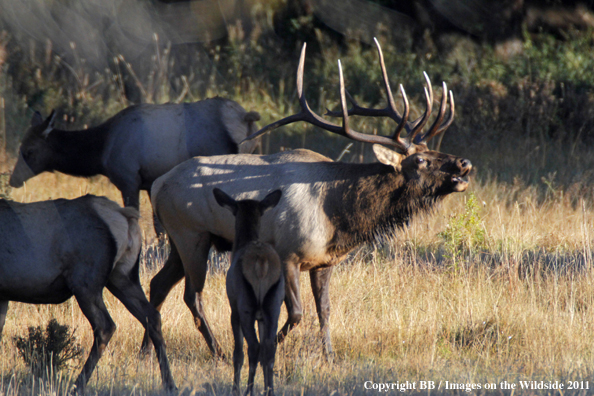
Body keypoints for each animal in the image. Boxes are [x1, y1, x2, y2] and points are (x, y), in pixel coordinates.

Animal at [0, 193, 176, 392]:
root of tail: (125, 216)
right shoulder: (3, 296)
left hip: (86, 283)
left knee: (105, 325)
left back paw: (77, 385)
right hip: (122, 277)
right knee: (152, 316)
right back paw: (170, 384)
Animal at [143, 38, 472, 358]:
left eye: (432, 151)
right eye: (421, 161)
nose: (464, 163)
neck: (339, 216)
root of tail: (158, 185)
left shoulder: (325, 262)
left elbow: (324, 310)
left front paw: (329, 355)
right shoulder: (288, 253)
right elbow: (296, 313)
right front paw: (269, 346)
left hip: (180, 239)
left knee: (158, 284)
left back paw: (148, 349)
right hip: (191, 234)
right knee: (192, 295)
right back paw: (218, 352)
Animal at [213, 188, 284, 396]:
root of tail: (262, 263)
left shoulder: (233, 309)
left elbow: (238, 353)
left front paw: (234, 388)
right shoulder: (262, 317)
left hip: (246, 306)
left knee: (253, 346)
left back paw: (248, 390)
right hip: (273, 306)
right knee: (268, 348)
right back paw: (269, 390)